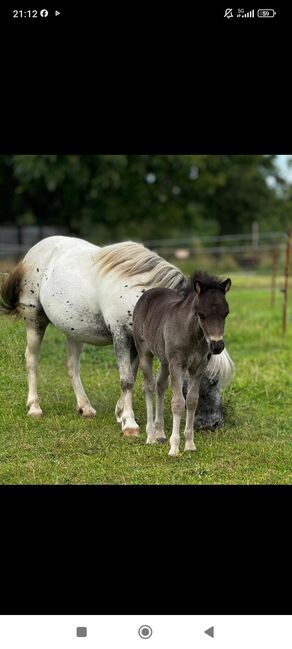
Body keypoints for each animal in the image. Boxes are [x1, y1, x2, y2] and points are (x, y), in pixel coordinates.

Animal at [132, 270, 230, 454]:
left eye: (225, 314)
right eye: (201, 314)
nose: (217, 346)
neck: (193, 335)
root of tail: (149, 292)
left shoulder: (198, 368)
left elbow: (191, 401)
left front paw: (190, 445)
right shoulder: (177, 365)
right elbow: (178, 403)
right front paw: (175, 448)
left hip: (165, 360)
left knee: (160, 385)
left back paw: (160, 433)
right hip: (145, 353)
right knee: (148, 387)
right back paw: (151, 436)